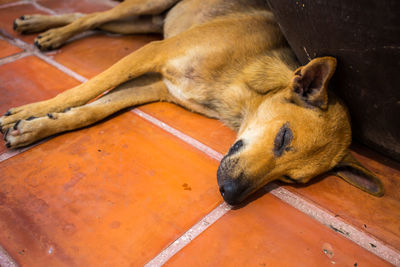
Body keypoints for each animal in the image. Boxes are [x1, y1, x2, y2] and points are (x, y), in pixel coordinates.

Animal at [0, 0, 382, 205]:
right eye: (283, 137)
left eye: (291, 180)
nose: (230, 194)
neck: (242, 83)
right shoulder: (154, 53)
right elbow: (84, 90)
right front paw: (28, 112)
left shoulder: (153, 85)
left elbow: (92, 110)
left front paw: (35, 127)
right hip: (147, 10)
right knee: (92, 17)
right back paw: (50, 31)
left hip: (139, 24)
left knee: (94, 21)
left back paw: (39, 23)